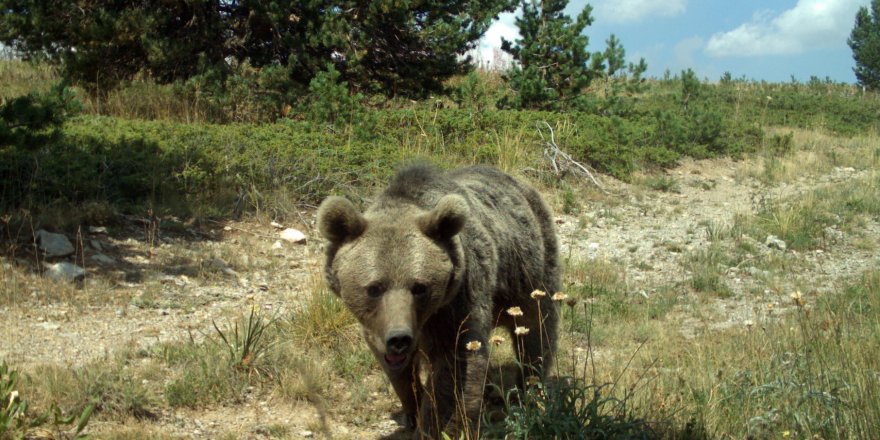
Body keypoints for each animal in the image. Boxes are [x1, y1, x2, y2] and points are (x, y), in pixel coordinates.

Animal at [318, 164, 556, 436]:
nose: (399, 338)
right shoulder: (378, 326)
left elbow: (455, 369)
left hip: (529, 270)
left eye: (419, 287)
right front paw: (412, 409)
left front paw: (437, 427)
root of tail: (520, 183)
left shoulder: (456, 302)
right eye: (374, 288)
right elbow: (398, 371)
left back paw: (530, 391)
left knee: (537, 330)